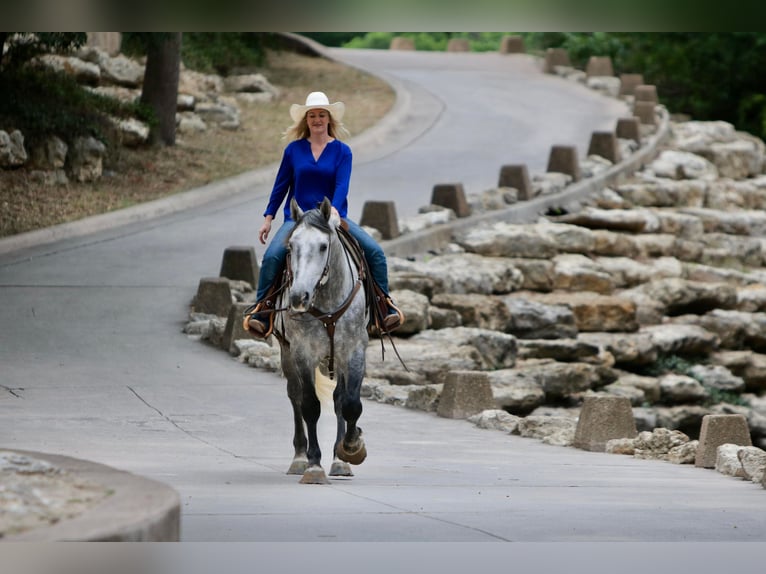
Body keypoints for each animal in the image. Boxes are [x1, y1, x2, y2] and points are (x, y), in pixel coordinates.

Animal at [276, 198, 372, 486]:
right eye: (291, 246)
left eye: (322, 246)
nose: (298, 297)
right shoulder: (302, 352)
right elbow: (310, 406)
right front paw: (313, 465)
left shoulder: (354, 350)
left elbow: (350, 404)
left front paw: (351, 449)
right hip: (287, 353)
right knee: (295, 395)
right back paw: (299, 457)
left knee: (339, 398)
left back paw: (340, 460)